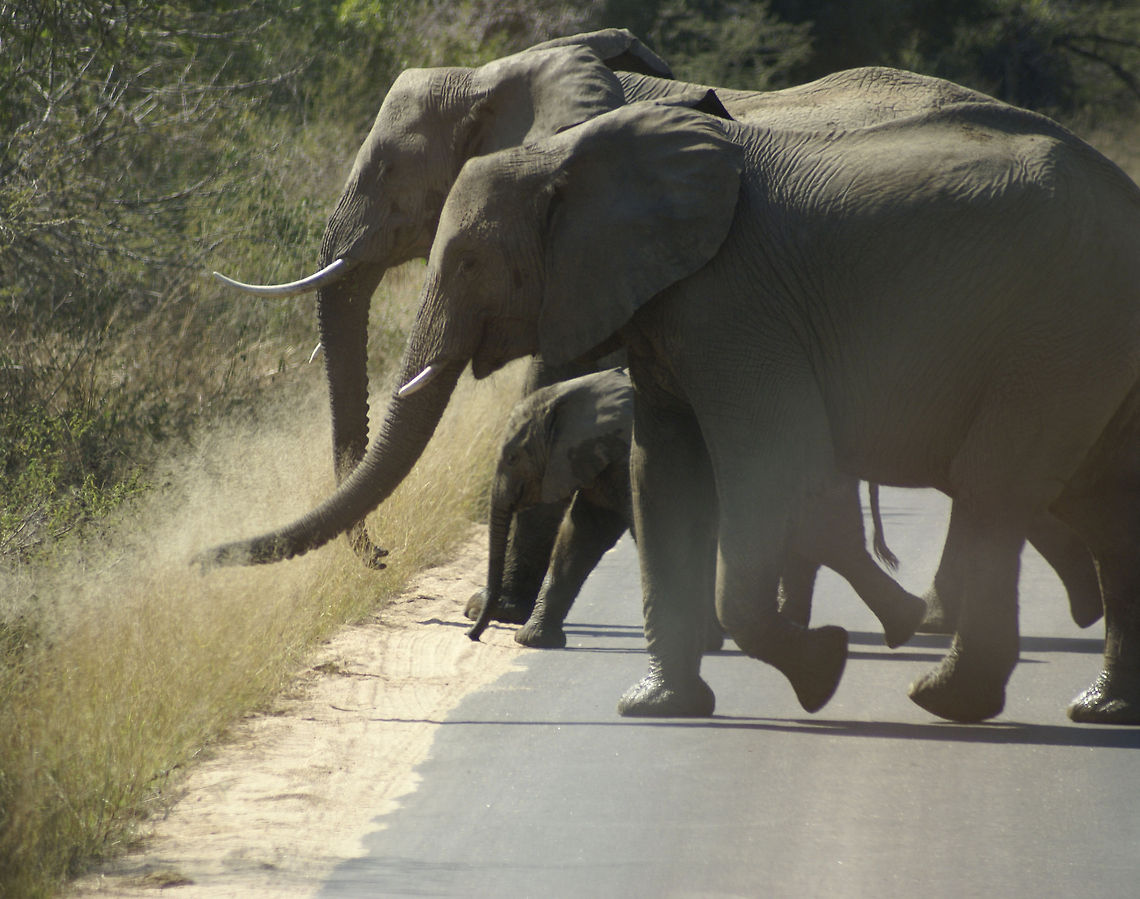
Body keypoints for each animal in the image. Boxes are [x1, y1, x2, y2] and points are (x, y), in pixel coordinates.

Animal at [466, 367, 926, 651]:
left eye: (511, 458)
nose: (473, 634)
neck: (576, 391)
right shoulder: (601, 464)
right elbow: (580, 537)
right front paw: (533, 641)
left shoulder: (627, 458)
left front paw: (699, 643)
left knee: (824, 541)